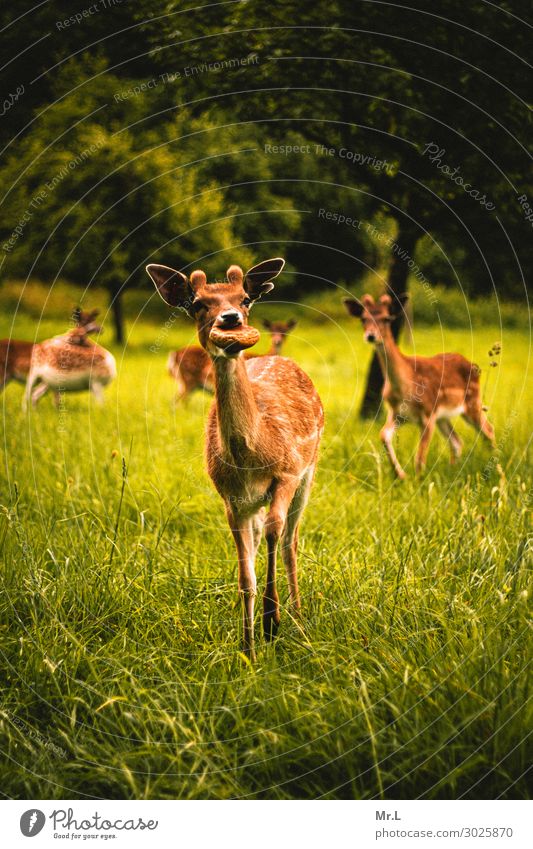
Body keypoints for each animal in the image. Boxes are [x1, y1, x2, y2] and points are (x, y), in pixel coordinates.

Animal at [342, 294, 492, 476]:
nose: (371, 336)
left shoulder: (428, 414)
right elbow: (383, 435)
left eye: (386, 318)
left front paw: (418, 479)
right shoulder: (397, 413)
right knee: (457, 441)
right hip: (443, 416)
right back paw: (454, 470)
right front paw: (401, 475)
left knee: (488, 431)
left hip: (472, 402)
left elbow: (419, 459)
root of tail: (474, 366)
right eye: (363, 319)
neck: (405, 388)